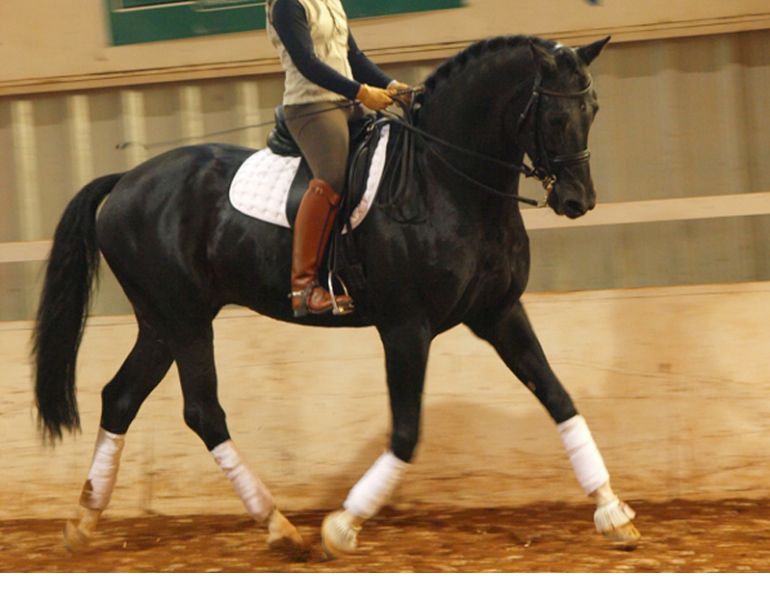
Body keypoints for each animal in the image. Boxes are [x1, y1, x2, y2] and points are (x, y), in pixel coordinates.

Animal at [33, 34, 640, 559]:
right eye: (555, 116)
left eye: (594, 110)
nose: (578, 200)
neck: (447, 181)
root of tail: (126, 181)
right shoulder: (406, 327)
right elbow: (407, 432)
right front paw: (342, 526)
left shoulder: (499, 313)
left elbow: (560, 400)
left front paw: (613, 514)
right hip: (184, 321)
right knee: (203, 411)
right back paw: (280, 528)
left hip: (162, 324)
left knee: (120, 398)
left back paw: (84, 521)